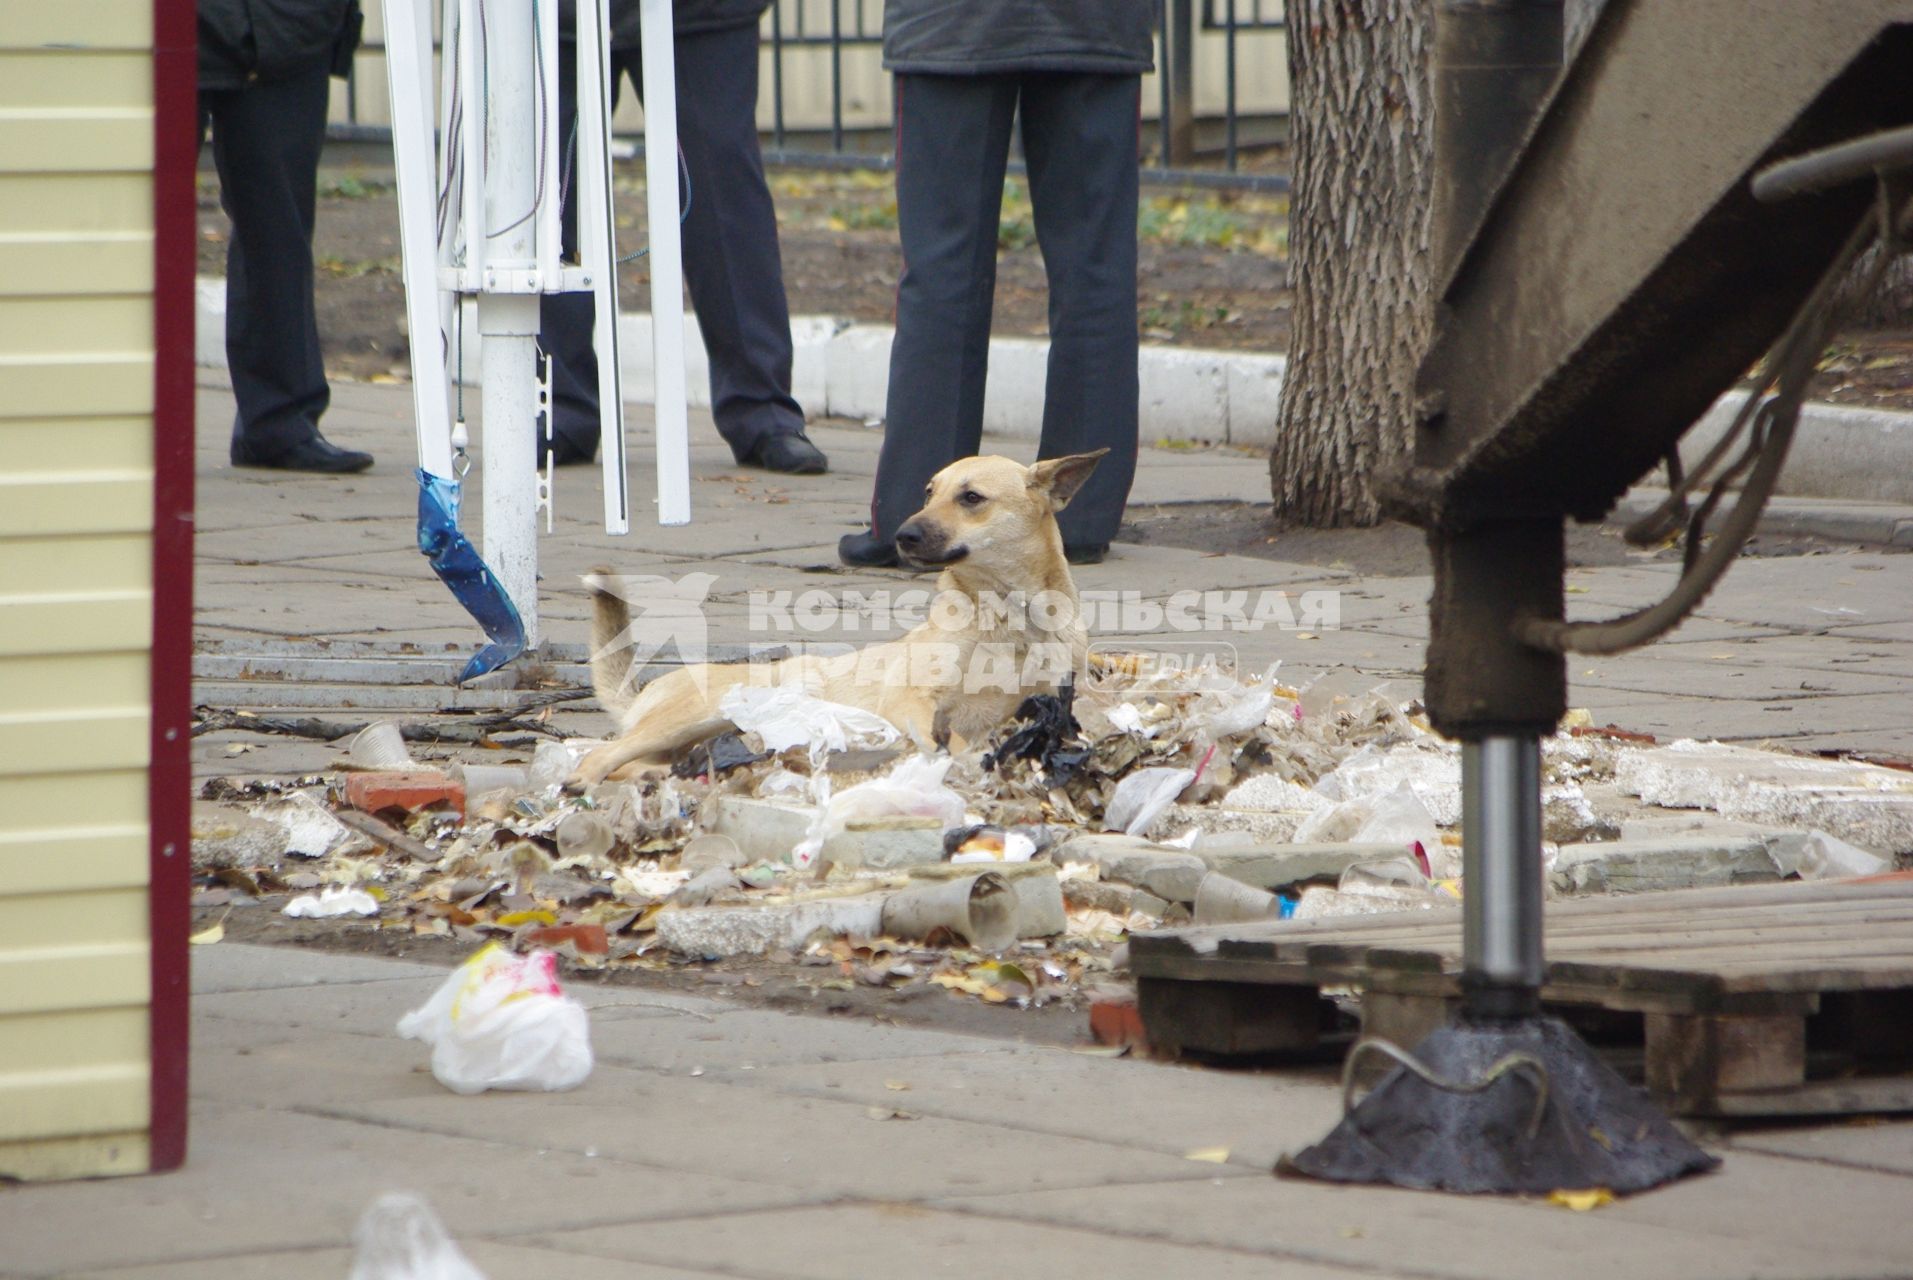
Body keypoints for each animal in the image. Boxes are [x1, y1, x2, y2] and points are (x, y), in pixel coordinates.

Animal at [566, 449, 1109, 788]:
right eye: (928, 492)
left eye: (971, 497)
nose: (903, 535)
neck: (1010, 617)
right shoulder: (909, 699)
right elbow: (938, 735)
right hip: (695, 715)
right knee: (599, 756)